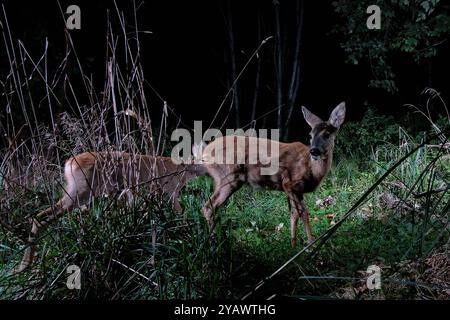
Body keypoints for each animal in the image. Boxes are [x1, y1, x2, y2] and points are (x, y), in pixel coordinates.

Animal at [15, 152, 205, 272]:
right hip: (79, 193)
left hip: (81, 195)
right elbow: (181, 217)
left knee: (43, 217)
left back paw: (25, 266)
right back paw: (24, 266)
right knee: (41, 218)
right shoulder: (169, 193)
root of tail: (69, 163)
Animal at [200, 103, 344, 248]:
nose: (314, 151)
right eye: (310, 135)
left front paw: (293, 245)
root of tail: (205, 152)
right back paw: (213, 242)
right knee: (208, 207)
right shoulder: (289, 183)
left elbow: (293, 214)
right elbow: (303, 212)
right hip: (228, 177)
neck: (312, 169)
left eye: (327, 134)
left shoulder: (295, 190)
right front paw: (311, 244)